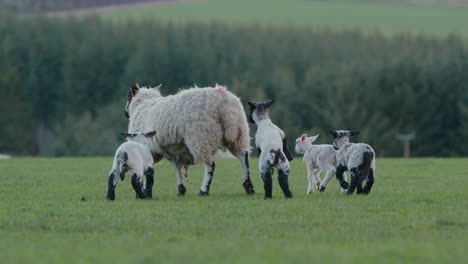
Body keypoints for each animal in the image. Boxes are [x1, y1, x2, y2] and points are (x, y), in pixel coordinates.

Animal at [126, 83, 254, 197]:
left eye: (129, 96)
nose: (125, 113)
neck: (142, 106)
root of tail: (224, 103)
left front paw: (143, 192)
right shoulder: (175, 149)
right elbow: (177, 167)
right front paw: (181, 190)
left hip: (200, 137)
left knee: (210, 165)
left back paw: (203, 191)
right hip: (238, 134)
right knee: (243, 156)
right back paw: (248, 186)